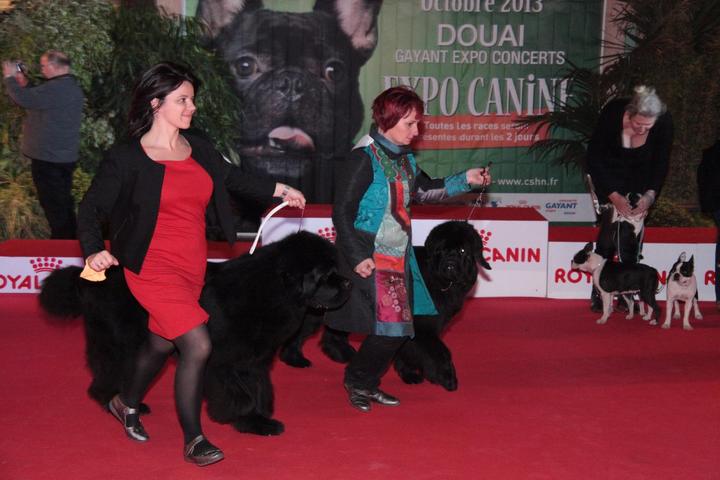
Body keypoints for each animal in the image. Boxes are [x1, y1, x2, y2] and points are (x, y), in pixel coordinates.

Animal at [39, 232, 351, 436]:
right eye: (326, 274)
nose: (348, 282)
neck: (272, 290)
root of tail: (89, 278)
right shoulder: (225, 361)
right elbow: (239, 393)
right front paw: (246, 420)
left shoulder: (253, 360)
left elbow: (259, 388)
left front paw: (260, 417)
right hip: (122, 341)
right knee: (111, 371)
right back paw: (113, 401)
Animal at [280, 221, 491, 391]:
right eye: (440, 251)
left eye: (462, 251)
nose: (450, 264)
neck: (439, 280)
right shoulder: (422, 328)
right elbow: (440, 352)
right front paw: (447, 378)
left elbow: (406, 351)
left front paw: (409, 374)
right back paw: (298, 359)